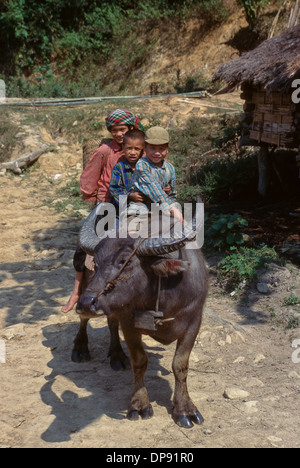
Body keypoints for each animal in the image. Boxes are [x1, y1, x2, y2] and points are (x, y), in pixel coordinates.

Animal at [72, 205, 209, 428]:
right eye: (97, 263)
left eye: (124, 262)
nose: (86, 303)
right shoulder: (129, 323)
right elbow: (139, 362)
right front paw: (139, 404)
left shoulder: (194, 320)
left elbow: (180, 365)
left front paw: (185, 409)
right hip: (84, 284)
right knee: (85, 321)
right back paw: (81, 349)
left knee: (111, 323)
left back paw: (117, 355)